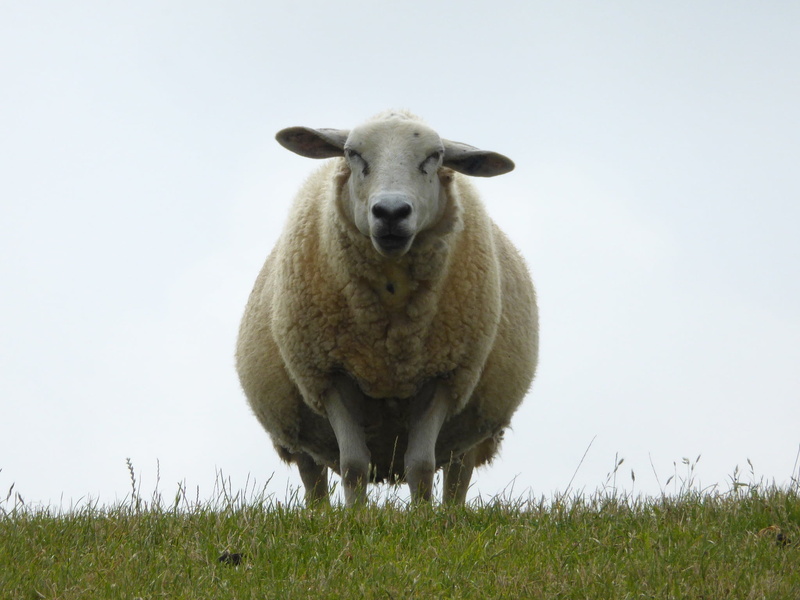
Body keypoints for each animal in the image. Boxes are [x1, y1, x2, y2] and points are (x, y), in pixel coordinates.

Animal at [236, 110, 538, 506]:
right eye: (352, 154)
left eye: (435, 157)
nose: (391, 212)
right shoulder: (330, 374)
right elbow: (353, 465)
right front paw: (355, 515)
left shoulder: (444, 375)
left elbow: (421, 466)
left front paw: (424, 516)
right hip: (296, 423)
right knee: (312, 477)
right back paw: (321, 514)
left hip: (470, 423)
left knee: (458, 474)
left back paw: (451, 512)